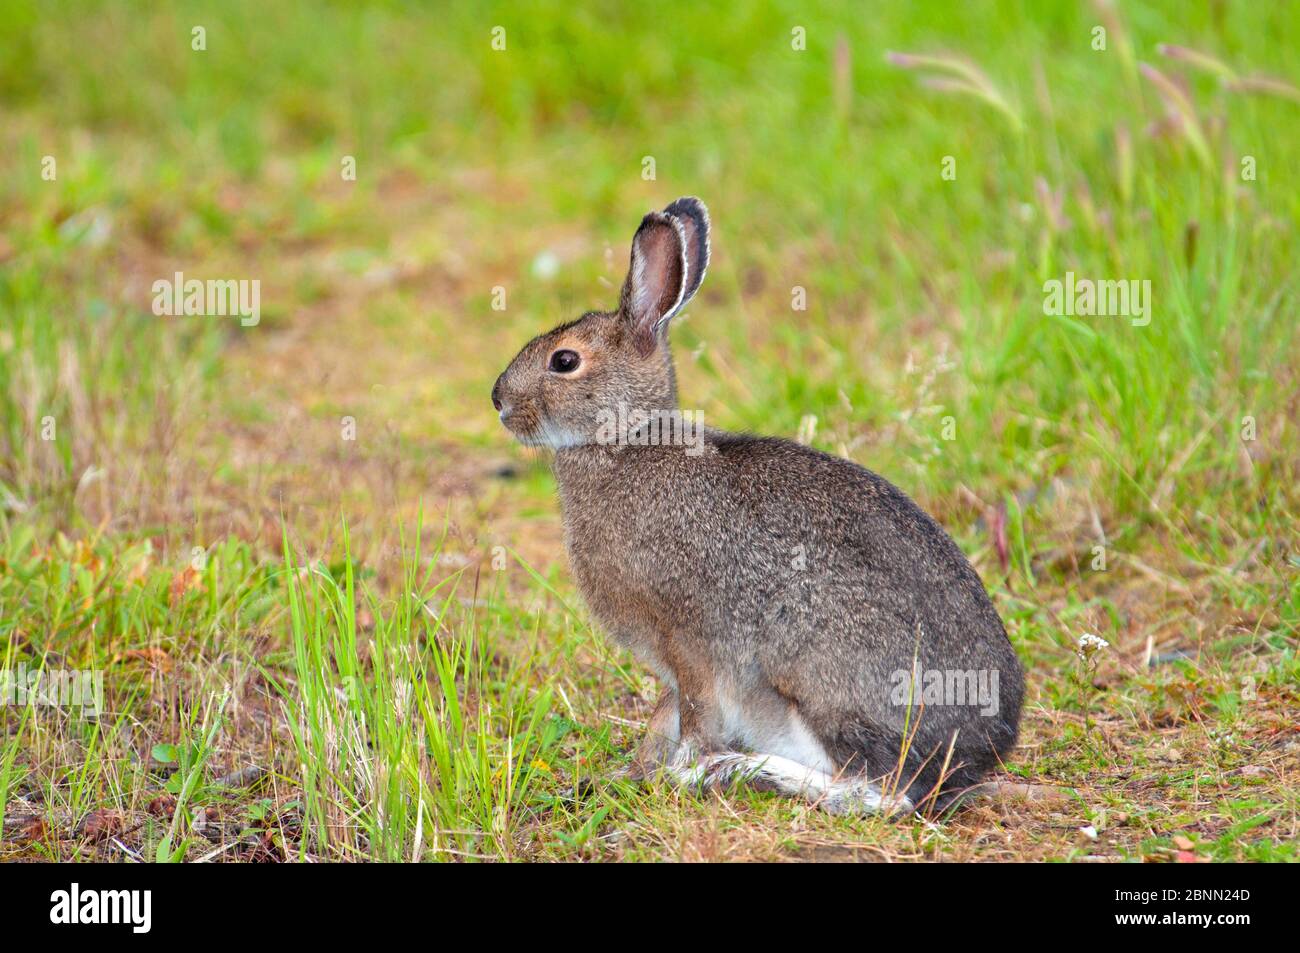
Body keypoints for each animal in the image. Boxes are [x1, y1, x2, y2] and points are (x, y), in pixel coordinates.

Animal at [492, 197, 1023, 814]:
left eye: (565, 361)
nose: (498, 399)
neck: (625, 438)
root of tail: (978, 752)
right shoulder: (671, 663)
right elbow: (661, 719)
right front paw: (631, 773)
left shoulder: (689, 642)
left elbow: (694, 717)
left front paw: (680, 771)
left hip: (819, 680)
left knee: (882, 794)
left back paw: (738, 771)